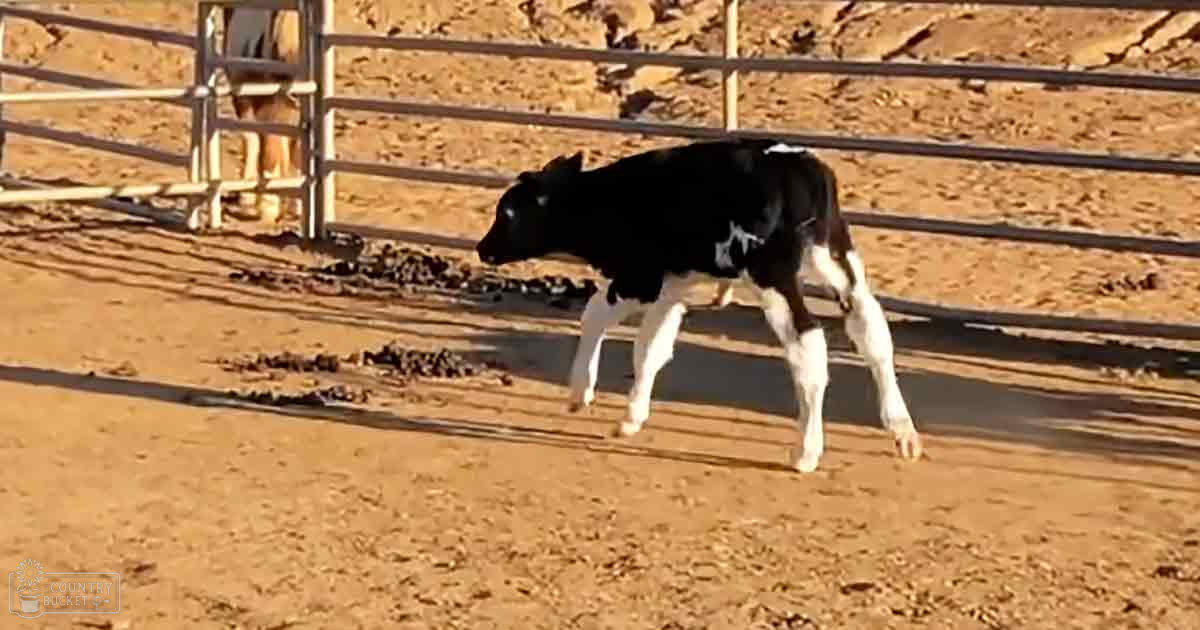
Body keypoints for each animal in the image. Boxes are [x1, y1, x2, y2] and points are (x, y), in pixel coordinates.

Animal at [474, 138, 923, 473]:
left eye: (508, 213)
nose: (482, 248)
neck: (609, 200)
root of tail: (800, 168)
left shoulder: (639, 279)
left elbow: (595, 317)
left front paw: (580, 393)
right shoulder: (673, 286)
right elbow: (651, 350)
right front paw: (631, 418)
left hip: (773, 276)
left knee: (807, 342)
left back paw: (806, 452)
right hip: (838, 259)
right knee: (871, 329)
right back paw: (902, 431)